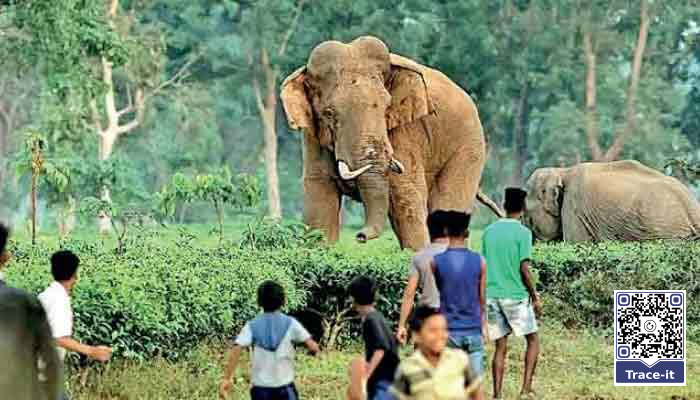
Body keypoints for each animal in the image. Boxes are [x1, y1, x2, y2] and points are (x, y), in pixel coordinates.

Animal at [281, 36, 499, 250]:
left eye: (387, 106)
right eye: (328, 113)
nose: (359, 236)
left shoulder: (405, 132)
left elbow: (405, 199)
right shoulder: (313, 138)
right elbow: (320, 205)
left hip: (468, 146)